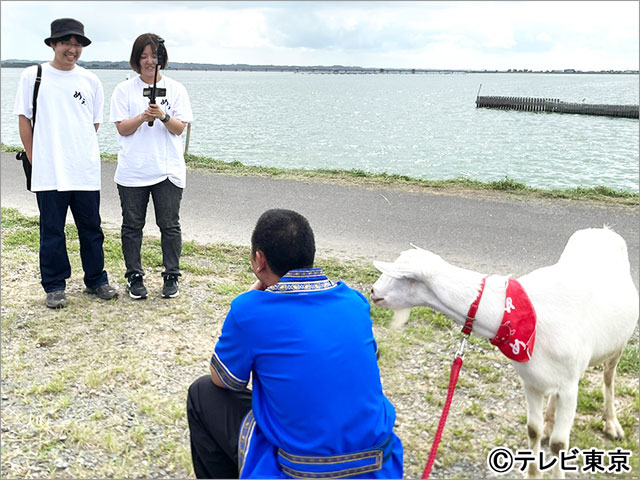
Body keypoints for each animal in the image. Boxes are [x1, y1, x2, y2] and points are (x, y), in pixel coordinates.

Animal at [372, 227, 636, 478]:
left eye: (397, 276)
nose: (373, 291)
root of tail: (603, 231)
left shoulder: (569, 388)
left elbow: (559, 444)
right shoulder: (531, 381)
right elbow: (533, 430)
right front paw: (534, 469)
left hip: (617, 345)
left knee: (609, 377)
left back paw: (612, 425)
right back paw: (550, 422)